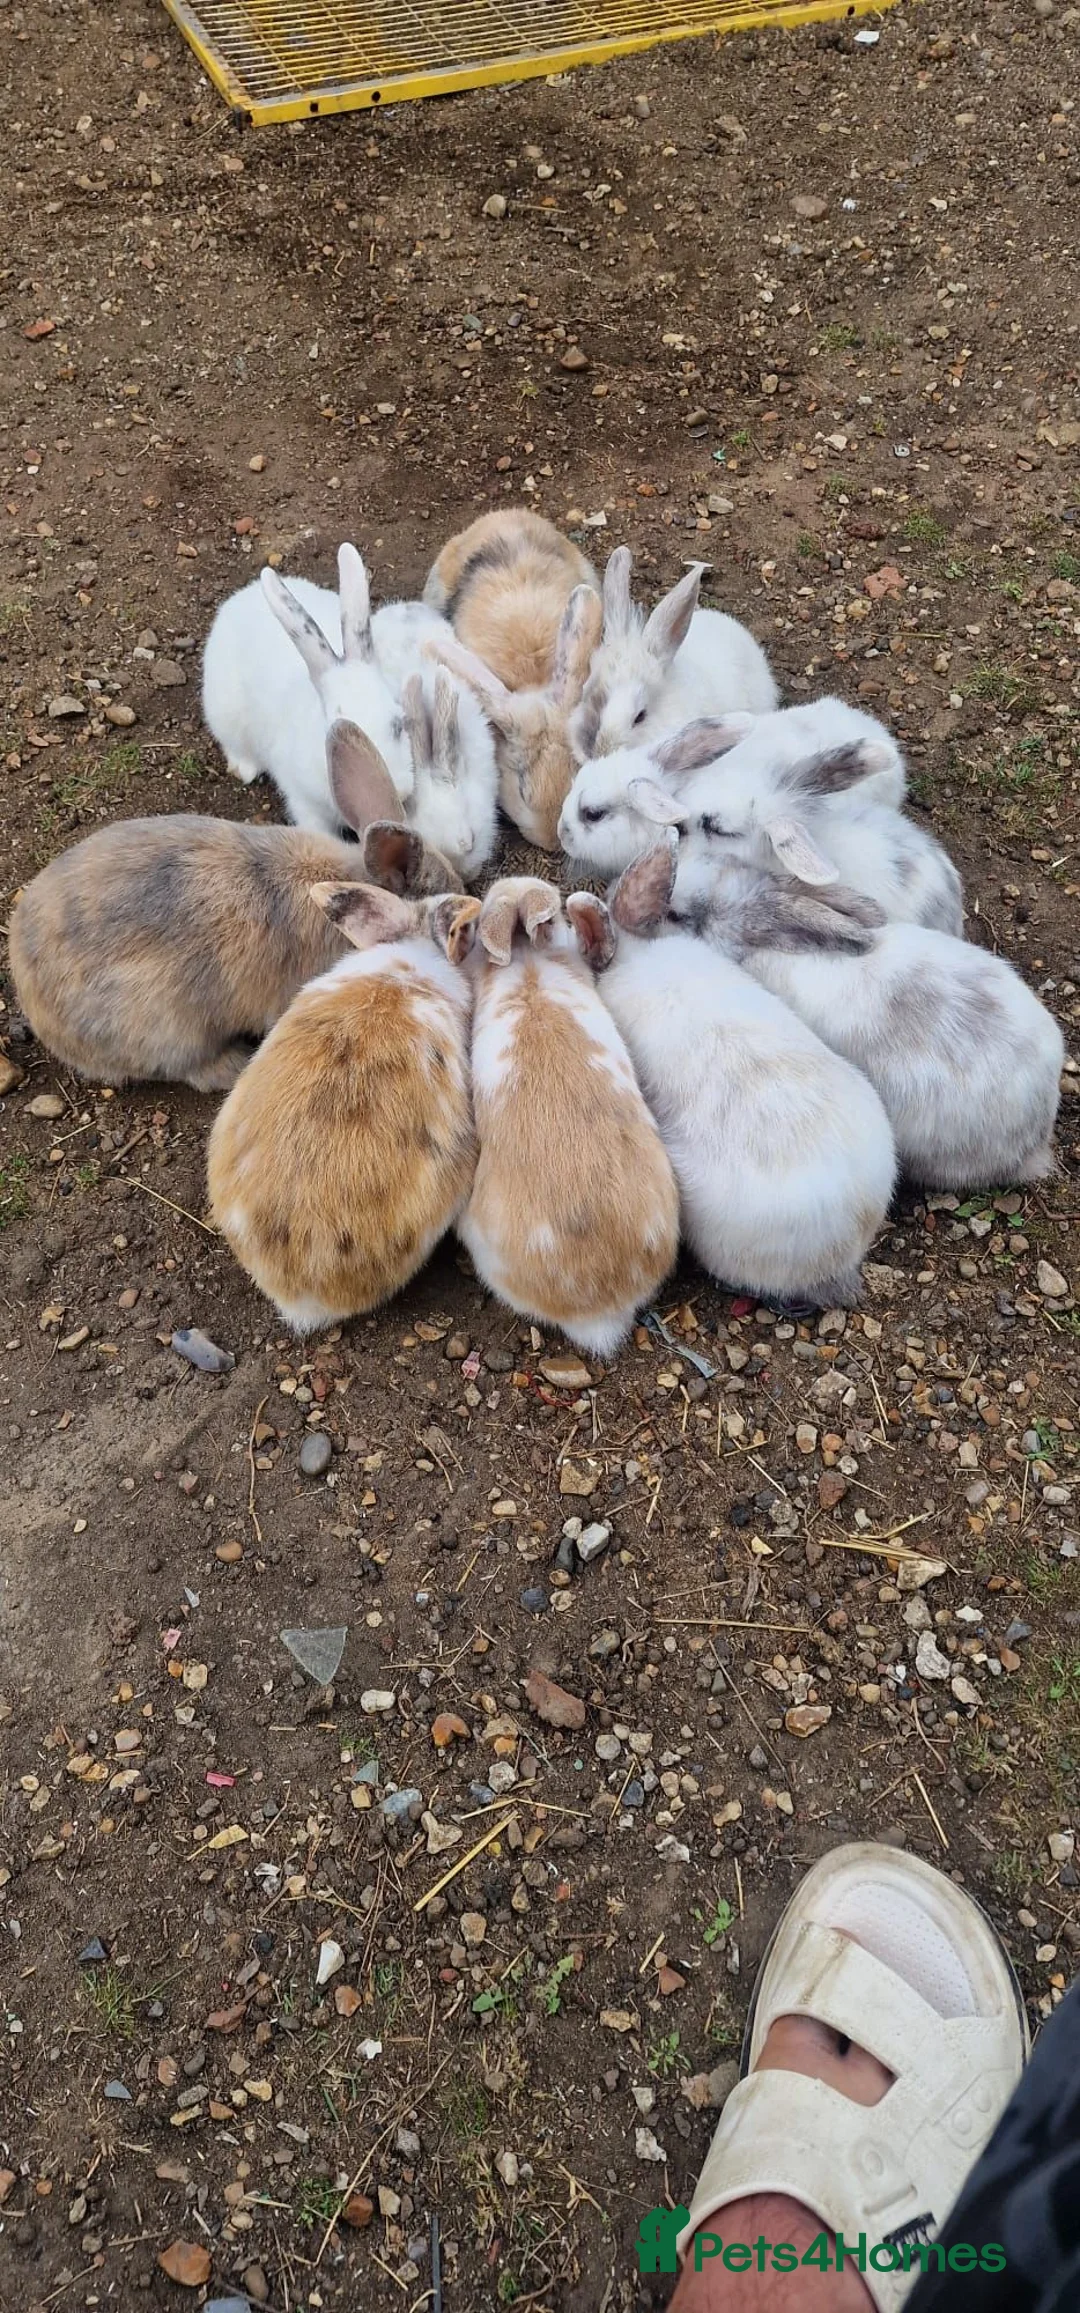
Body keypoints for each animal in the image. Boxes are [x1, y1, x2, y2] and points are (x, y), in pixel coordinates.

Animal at [202, 543, 414, 835]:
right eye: (332, 737)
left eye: (398, 725)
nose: (400, 792)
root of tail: (244, 594)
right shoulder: (303, 802)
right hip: (224, 712)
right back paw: (244, 768)